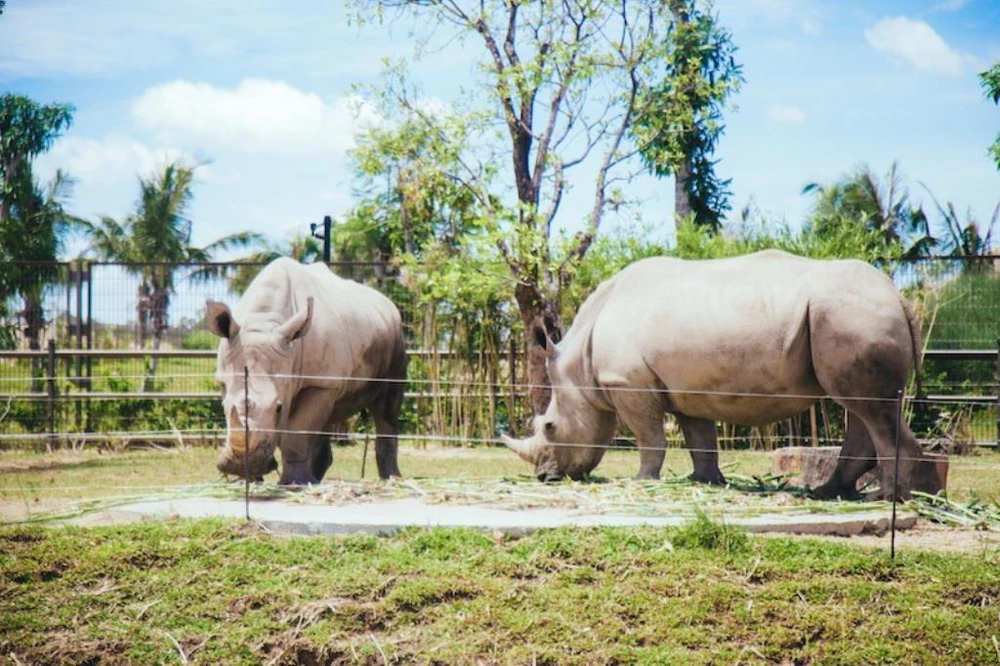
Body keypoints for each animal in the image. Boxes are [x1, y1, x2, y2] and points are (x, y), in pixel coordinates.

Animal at [207, 257, 407, 485]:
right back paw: (315, 479)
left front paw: (293, 483)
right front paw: (245, 480)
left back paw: (393, 480)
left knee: (387, 406)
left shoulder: (318, 383)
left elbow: (296, 432)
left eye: (278, 408)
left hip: (395, 339)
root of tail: (388, 302)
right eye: (224, 406)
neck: (263, 322)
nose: (241, 464)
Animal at [503, 250, 943, 501]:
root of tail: (899, 295)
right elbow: (699, 437)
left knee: (869, 408)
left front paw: (642, 482)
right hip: (850, 315)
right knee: (860, 407)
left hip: (853, 314)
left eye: (550, 426)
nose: (544, 477)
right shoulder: (683, 387)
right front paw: (707, 482)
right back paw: (831, 493)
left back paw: (889, 499)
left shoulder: (628, 383)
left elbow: (650, 437)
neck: (579, 362)